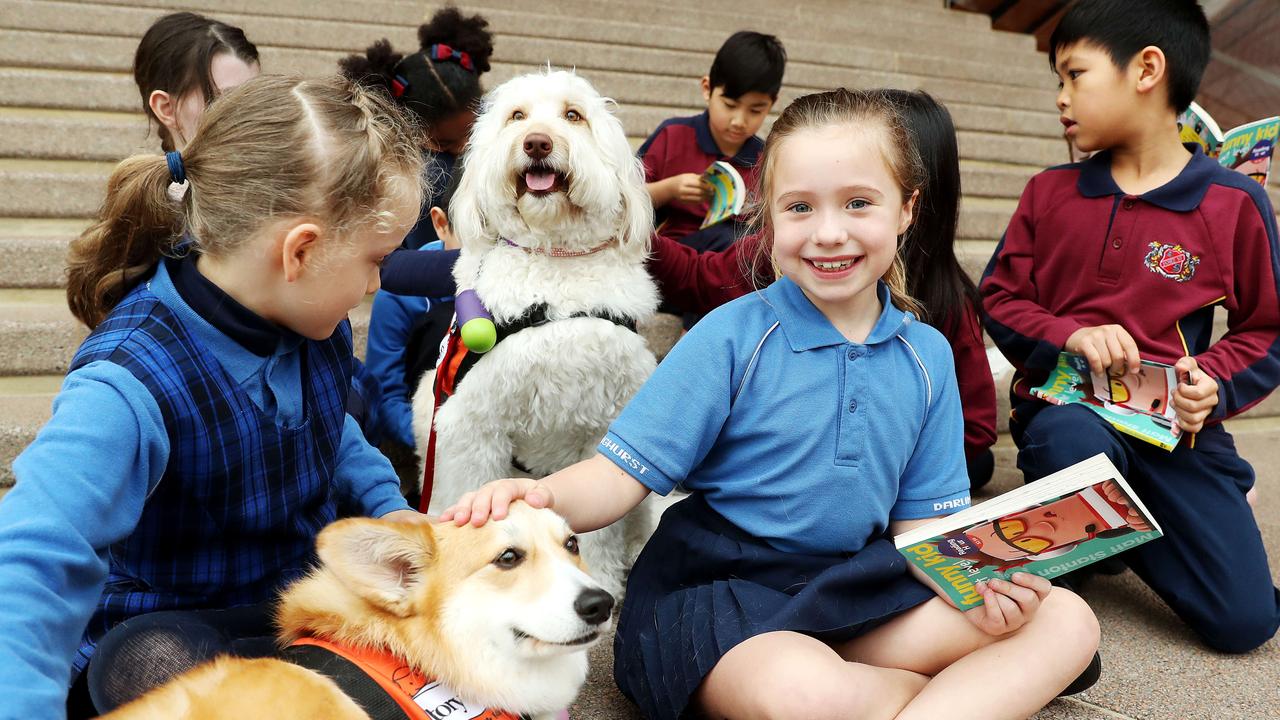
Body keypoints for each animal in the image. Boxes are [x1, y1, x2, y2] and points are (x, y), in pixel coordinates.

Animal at [414, 68, 660, 594]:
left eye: (574, 115)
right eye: (517, 116)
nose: (536, 142)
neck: (553, 265)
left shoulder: (604, 425)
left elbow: (599, 528)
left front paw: (599, 578)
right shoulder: (474, 424)